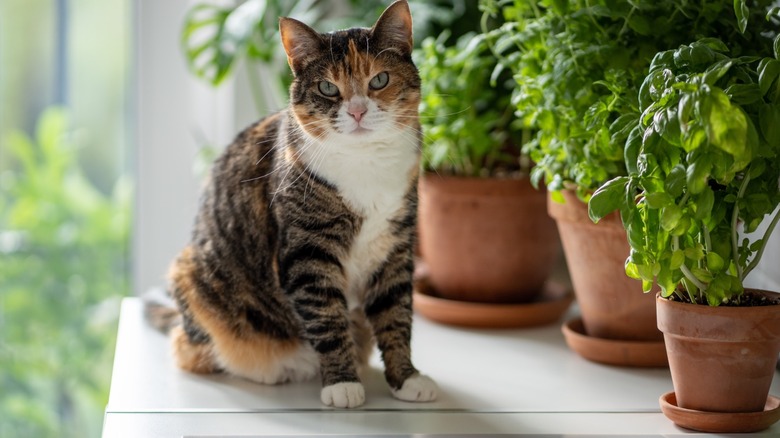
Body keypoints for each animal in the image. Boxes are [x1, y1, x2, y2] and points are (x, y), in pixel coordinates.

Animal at [145, 0, 438, 410]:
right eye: (328, 87)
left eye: (379, 80)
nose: (357, 111)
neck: (365, 165)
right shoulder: (308, 249)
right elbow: (326, 316)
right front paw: (342, 383)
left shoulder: (395, 246)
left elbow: (396, 315)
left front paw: (407, 378)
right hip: (190, 273)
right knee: (188, 348)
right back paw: (281, 364)